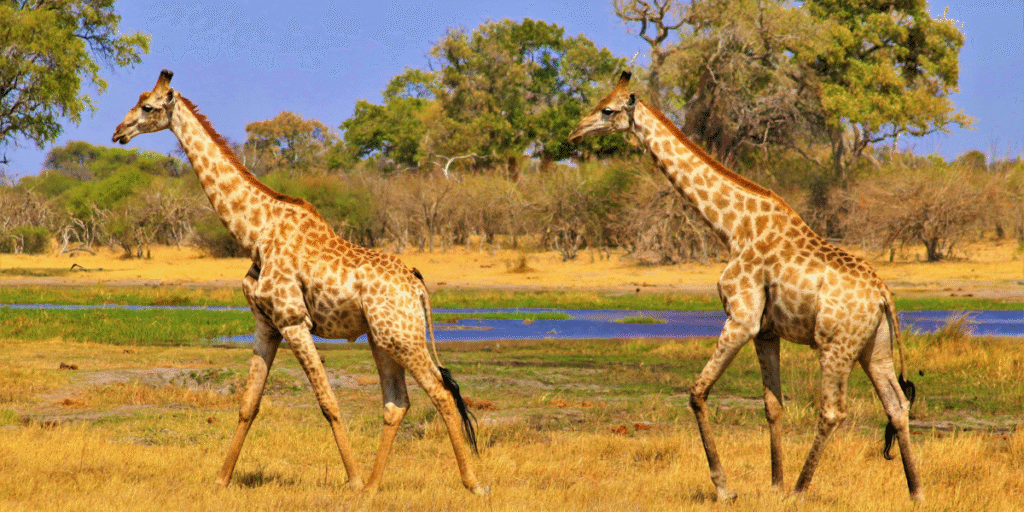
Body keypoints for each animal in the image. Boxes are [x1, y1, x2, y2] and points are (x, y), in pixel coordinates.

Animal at [112, 70, 486, 496]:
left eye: (148, 107)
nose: (118, 132)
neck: (255, 233)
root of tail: (418, 287)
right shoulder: (266, 324)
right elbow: (248, 404)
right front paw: (221, 479)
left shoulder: (294, 322)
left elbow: (328, 403)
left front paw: (352, 479)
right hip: (383, 337)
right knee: (398, 402)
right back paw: (375, 488)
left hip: (403, 337)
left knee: (441, 392)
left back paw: (471, 484)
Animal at [569, 72, 922, 501]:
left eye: (607, 110)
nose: (574, 132)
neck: (732, 228)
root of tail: (884, 296)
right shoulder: (766, 331)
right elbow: (773, 405)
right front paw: (773, 483)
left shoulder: (741, 319)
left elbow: (697, 392)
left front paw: (726, 488)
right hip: (875, 347)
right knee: (897, 405)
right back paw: (916, 492)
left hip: (836, 346)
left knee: (833, 410)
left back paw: (800, 491)